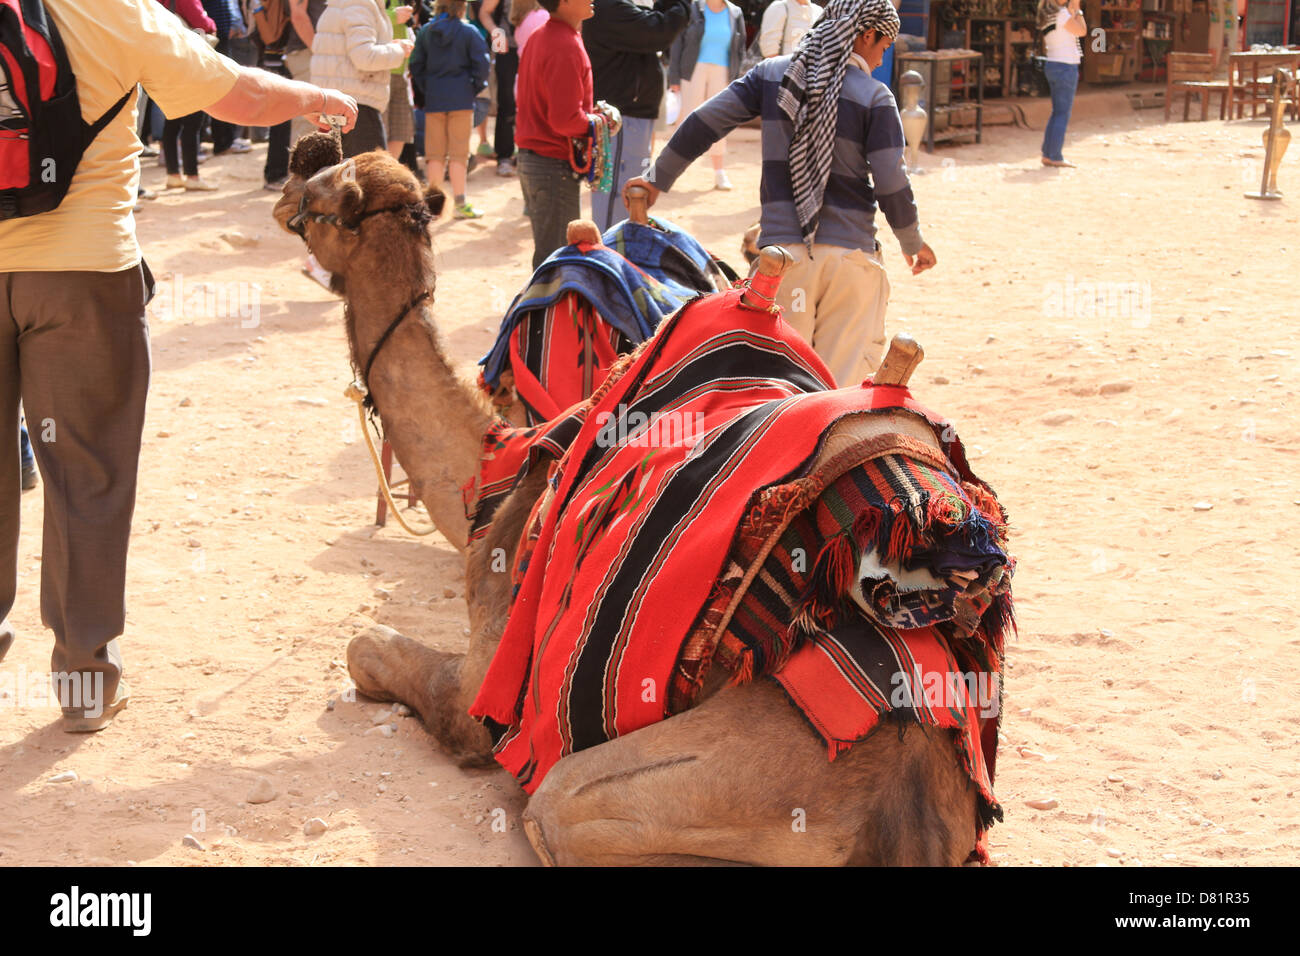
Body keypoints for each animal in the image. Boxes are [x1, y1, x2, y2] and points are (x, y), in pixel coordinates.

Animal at [274, 147, 998, 868]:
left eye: (322, 193)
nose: (282, 197)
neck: (494, 467)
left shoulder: (487, 677)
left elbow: (367, 649)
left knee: (553, 814)